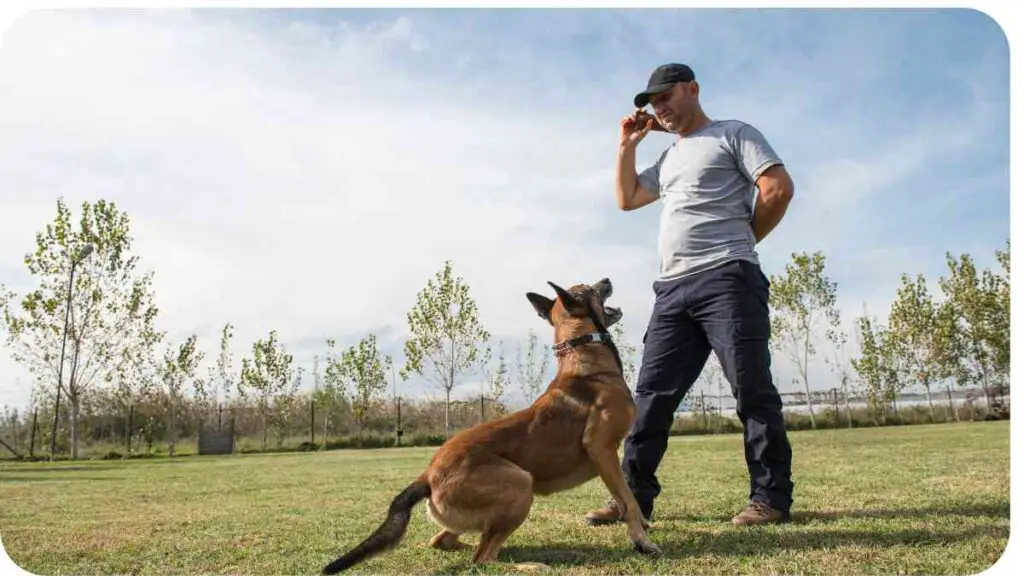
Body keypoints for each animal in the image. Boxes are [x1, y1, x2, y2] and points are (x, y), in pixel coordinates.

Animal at [321, 276, 655, 569]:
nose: (607, 279)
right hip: (521, 484)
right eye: (591, 288)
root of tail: (427, 475)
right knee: (482, 559)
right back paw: (529, 565)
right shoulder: (602, 450)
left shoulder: (606, 458)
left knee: (446, 541)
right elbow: (629, 501)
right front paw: (641, 540)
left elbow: (627, 500)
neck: (584, 352)